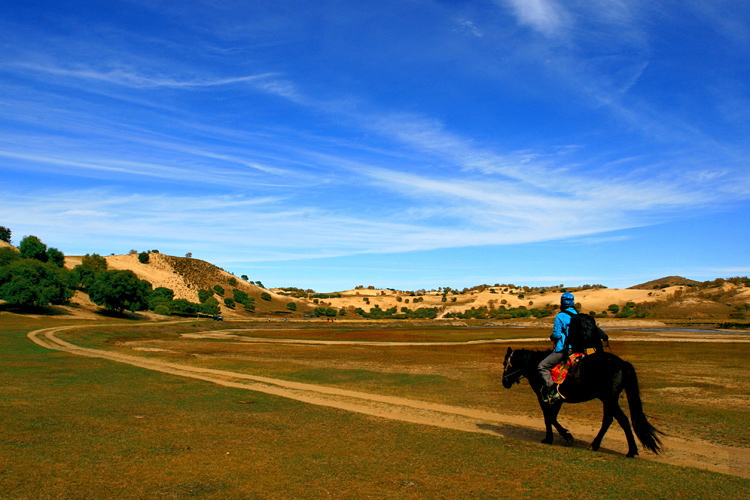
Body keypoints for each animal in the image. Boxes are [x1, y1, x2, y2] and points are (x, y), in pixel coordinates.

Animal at [506, 348, 664, 458]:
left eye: (506, 364)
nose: (504, 381)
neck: (536, 366)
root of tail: (622, 364)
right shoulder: (555, 400)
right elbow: (550, 418)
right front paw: (554, 437)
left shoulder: (549, 397)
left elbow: (549, 418)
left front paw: (563, 437)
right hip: (607, 400)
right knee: (611, 420)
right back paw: (599, 445)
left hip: (610, 399)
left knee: (620, 420)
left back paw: (629, 451)